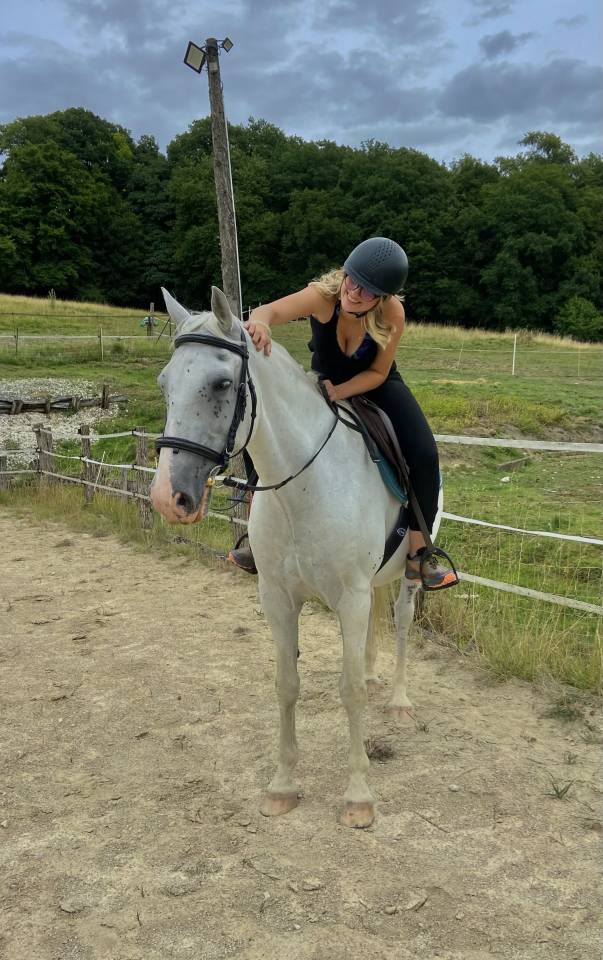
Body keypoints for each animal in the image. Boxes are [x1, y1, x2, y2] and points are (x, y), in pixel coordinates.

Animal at [150, 286, 443, 828]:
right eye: (164, 383)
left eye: (222, 383)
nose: (167, 498)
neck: (304, 485)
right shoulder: (278, 598)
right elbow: (287, 683)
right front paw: (282, 785)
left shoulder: (349, 598)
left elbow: (352, 693)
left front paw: (358, 796)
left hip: (409, 577)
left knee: (400, 622)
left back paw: (398, 700)